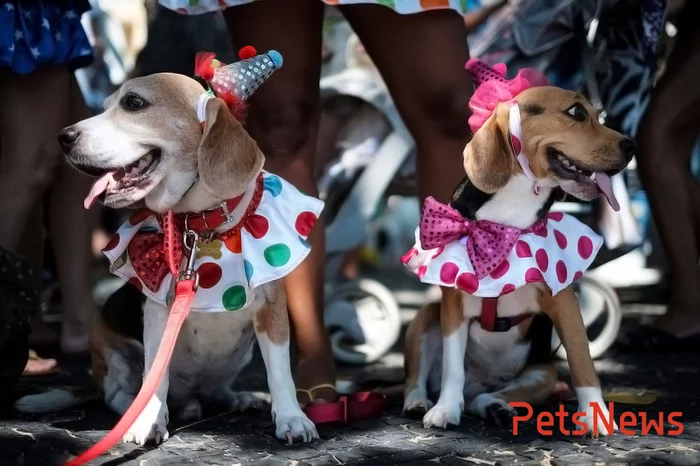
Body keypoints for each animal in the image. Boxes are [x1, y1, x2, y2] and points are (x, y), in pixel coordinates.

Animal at [15, 68, 320, 444]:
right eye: (106, 105)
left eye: (133, 103)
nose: (64, 137)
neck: (203, 226)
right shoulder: (159, 312)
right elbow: (155, 378)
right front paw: (148, 421)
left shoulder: (271, 306)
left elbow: (279, 372)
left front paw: (292, 418)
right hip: (111, 351)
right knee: (117, 395)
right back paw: (138, 411)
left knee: (214, 391)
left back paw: (234, 398)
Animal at [400, 61, 636, 434]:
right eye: (576, 112)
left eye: (598, 114)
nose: (632, 146)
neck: (508, 220)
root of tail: (482, 382)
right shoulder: (452, 305)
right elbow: (452, 368)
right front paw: (445, 409)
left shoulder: (564, 304)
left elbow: (583, 363)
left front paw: (594, 414)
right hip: (425, 318)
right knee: (418, 380)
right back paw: (419, 401)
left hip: (542, 373)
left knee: (487, 397)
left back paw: (495, 406)